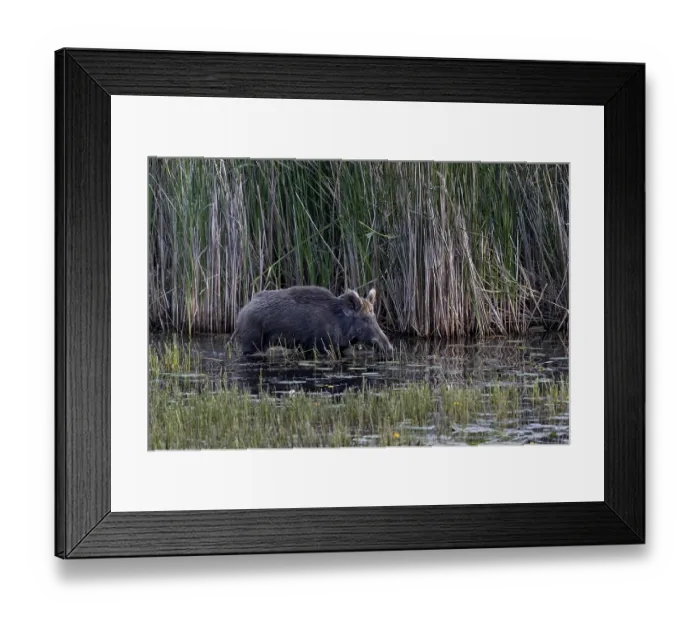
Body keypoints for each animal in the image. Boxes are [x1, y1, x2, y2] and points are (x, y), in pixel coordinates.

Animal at [229, 286, 393, 356]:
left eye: (374, 316)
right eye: (364, 319)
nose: (389, 347)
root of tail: (241, 313)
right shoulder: (320, 345)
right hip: (252, 342)